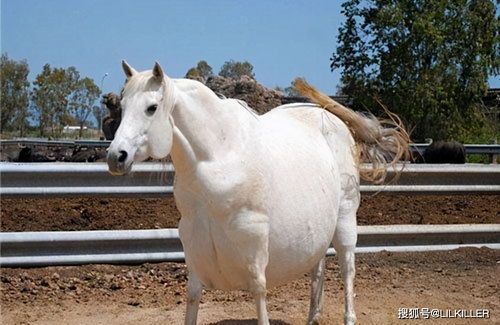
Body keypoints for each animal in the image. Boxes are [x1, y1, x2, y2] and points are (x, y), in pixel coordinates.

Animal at [107, 61, 408, 324]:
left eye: (152, 108)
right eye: (122, 106)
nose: (116, 157)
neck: (219, 157)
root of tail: (332, 117)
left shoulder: (254, 248)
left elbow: (260, 296)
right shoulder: (193, 248)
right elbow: (192, 300)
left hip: (345, 220)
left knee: (347, 269)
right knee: (318, 269)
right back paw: (313, 317)